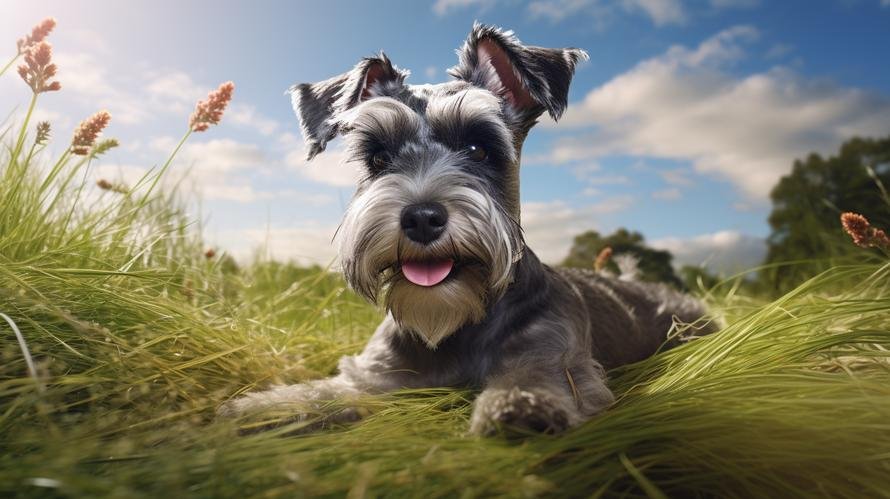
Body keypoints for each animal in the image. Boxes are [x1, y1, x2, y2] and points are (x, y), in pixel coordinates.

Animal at [222, 23, 716, 436]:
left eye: (479, 147)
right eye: (378, 157)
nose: (422, 217)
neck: (455, 325)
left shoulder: (556, 355)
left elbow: (537, 374)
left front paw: (520, 404)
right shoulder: (374, 376)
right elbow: (323, 392)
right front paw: (261, 407)